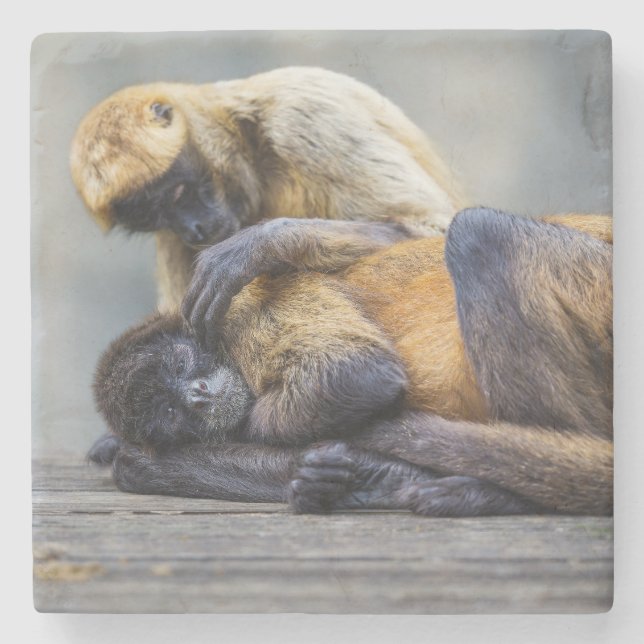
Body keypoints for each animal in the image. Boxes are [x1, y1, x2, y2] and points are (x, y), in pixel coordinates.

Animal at [70, 67, 467, 311]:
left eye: (177, 193)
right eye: (154, 216)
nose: (192, 229)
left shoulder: (299, 117)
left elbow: (436, 229)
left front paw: (258, 246)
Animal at [90, 208, 612, 516]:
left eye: (182, 365)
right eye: (169, 411)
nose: (197, 397)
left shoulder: (244, 313)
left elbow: (358, 374)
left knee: (480, 232)